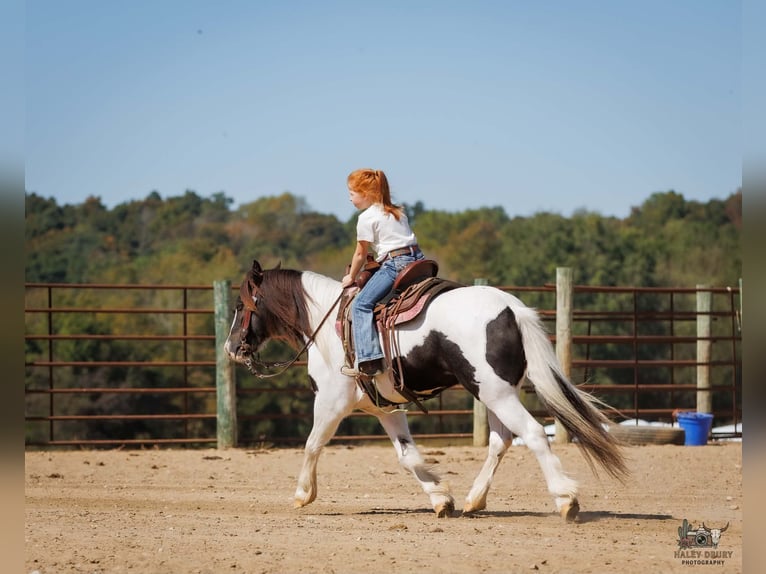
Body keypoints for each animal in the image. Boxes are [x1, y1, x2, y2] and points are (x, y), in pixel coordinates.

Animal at [224, 259, 628, 521]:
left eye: (241, 304)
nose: (230, 347)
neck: (327, 325)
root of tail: (512, 308)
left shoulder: (331, 401)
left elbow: (312, 444)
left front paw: (303, 494)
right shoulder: (386, 408)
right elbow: (407, 456)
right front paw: (440, 497)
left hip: (495, 393)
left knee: (531, 434)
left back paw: (565, 500)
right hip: (495, 392)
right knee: (500, 441)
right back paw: (474, 500)